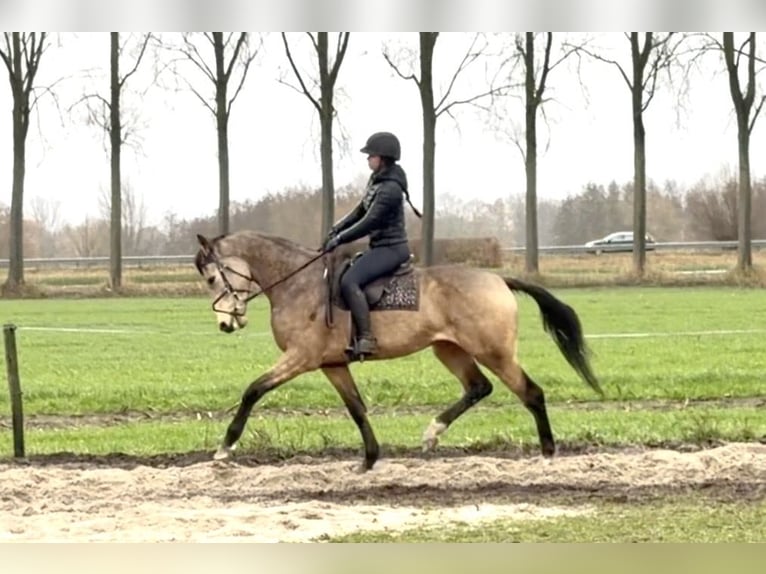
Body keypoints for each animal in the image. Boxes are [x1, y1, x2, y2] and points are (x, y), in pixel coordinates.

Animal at [193, 230, 603, 471]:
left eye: (212, 277)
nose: (226, 324)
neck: (298, 284)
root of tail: (498, 279)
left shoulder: (301, 358)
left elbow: (254, 390)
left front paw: (225, 447)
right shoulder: (331, 364)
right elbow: (356, 408)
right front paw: (369, 460)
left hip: (494, 352)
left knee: (530, 392)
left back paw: (547, 453)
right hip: (449, 349)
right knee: (478, 387)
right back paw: (433, 433)